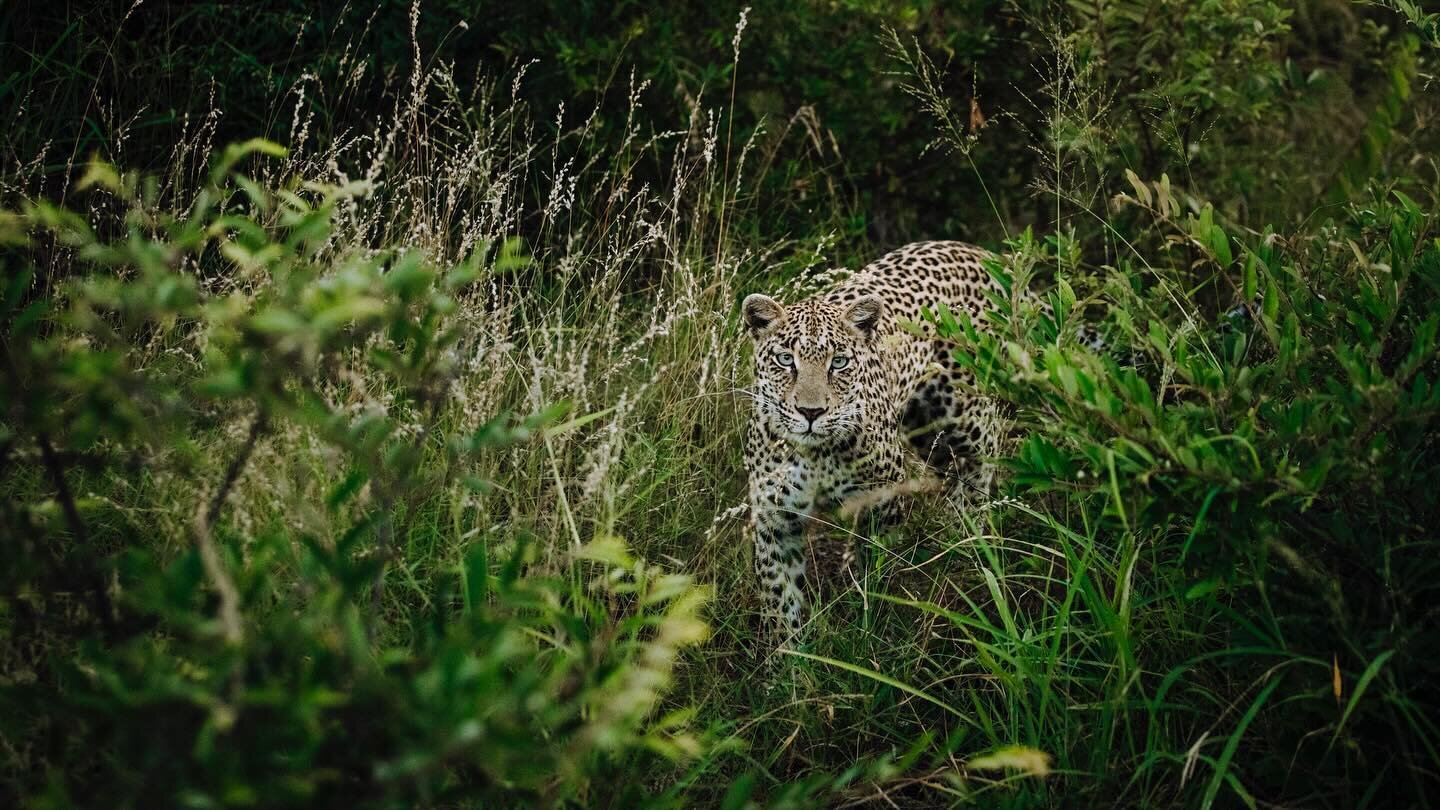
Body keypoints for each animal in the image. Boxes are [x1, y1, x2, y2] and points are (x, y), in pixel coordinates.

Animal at [743, 237, 1013, 637]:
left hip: (959, 405)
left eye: (839, 362)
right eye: (785, 360)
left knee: (987, 442)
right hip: (922, 426)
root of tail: (979, 250)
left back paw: (967, 526)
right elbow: (780, 597)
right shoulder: (774, 518)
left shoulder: (883, 496)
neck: (814, 454)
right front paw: (789, 650)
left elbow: (872, 563)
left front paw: (864, 617)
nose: (811, 412)